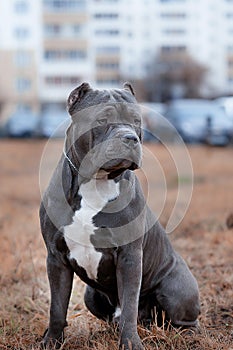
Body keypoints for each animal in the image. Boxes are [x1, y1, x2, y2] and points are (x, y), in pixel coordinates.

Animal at [39, 82, 199, 350]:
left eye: (136, 121)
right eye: (102, 119)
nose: (130, 138)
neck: (97, 182)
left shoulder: (129, 256)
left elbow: (130, 306)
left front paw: (131, 343)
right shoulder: (56, 257)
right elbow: (57, 307)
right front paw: (51, 341)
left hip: (177, 288)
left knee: (180, 320)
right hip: (91, 295)